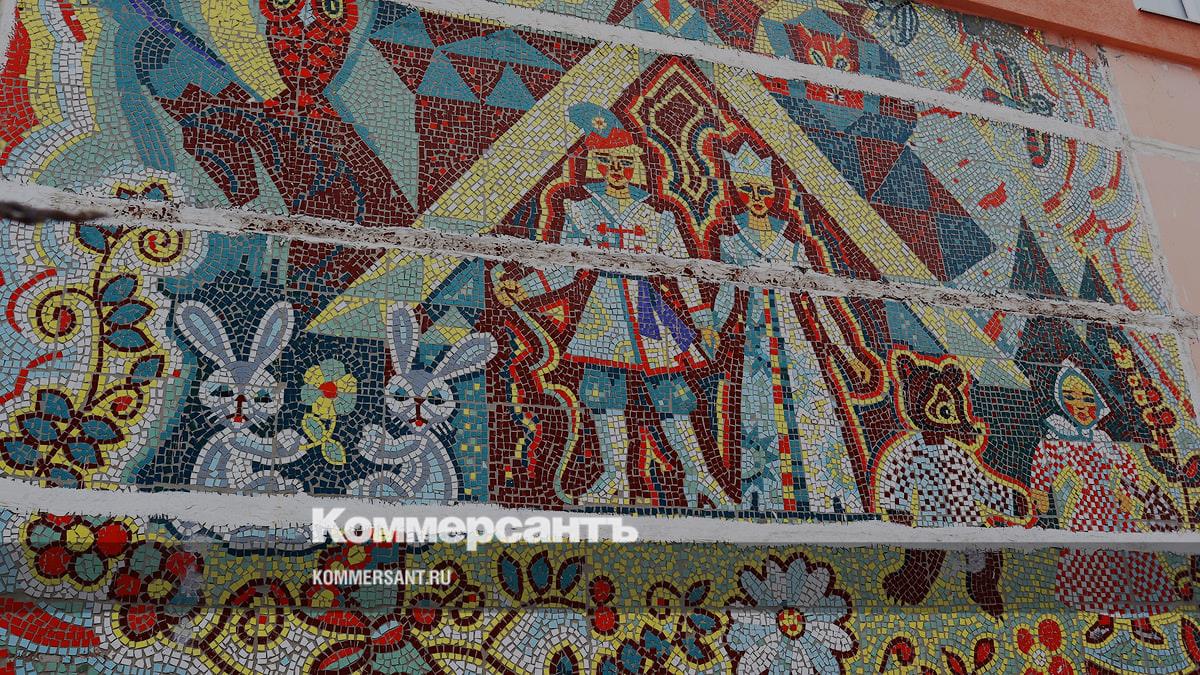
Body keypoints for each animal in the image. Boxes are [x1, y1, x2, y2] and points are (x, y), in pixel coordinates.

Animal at [174, 300, 305, 493]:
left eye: (263, 397)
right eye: (223, 391)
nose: (240, 402)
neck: (235, 429)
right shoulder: (235, 440)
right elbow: (260, 448)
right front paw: (288, 442)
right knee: (268, 480)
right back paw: (286, 486)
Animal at [348, 304, 497, 502]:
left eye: (437, 399)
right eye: (400, 395)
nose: (418, 401)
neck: (421, 431)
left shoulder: (420, 443)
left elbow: (397, 450)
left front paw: (370, 443)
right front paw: (375, 432)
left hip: (399, 489)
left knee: (379, 483)